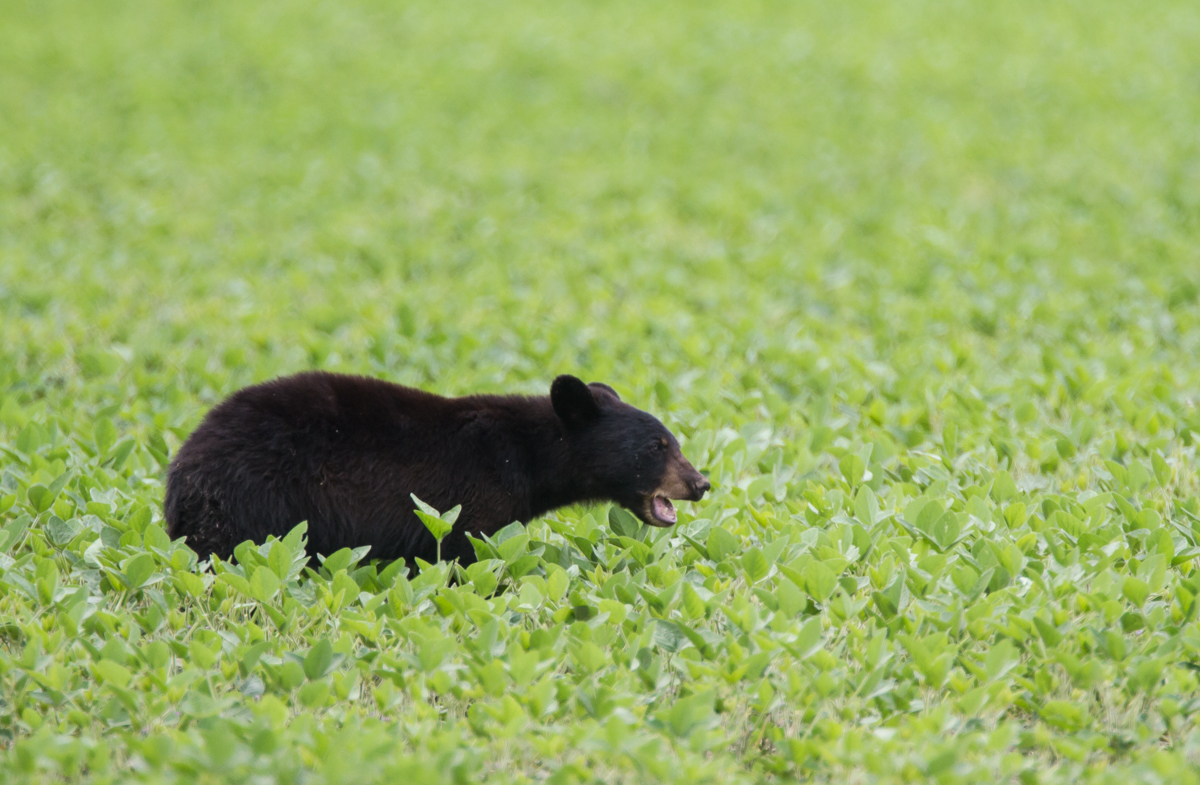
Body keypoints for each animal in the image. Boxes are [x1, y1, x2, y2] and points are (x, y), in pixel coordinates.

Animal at [164, 371, 710, 566]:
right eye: (658, 446)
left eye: (674, 442)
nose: (701, 482)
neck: (528, 456)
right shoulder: (474, 504)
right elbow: (472, 560)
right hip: (256, 507)